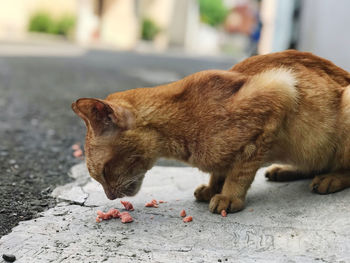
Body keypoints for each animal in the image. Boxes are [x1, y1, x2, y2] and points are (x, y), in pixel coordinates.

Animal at [71, 50, 350, 214]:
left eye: (104, 172)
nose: (109, 196)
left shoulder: (278, 91)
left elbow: (239, 173)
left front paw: (228, 197)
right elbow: (220, 170)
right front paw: (212, 188)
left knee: (339, 168)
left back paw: (331, 179)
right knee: (314, 164)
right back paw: (285, 170)